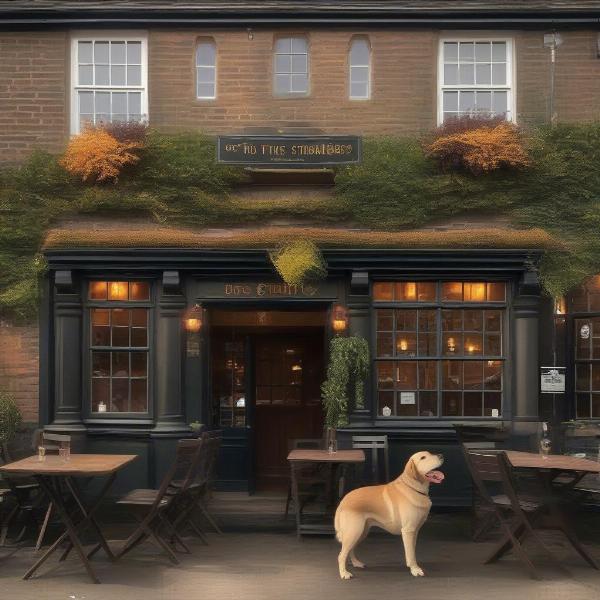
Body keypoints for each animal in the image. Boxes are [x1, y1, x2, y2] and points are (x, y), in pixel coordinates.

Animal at [336, 452, 442, 580]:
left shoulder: (415, 531)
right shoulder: (408, 531)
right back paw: (344, 573)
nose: (441, 455)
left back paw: (356, 563)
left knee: (350, 550)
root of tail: (344, 500)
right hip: (353, 532)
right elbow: (411, 553)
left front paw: (412, 566)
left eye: (430, 453)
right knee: (341, 555)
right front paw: (415, 569)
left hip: (361, 532)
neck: (413, 487)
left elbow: (412, 550)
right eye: (423, 458)